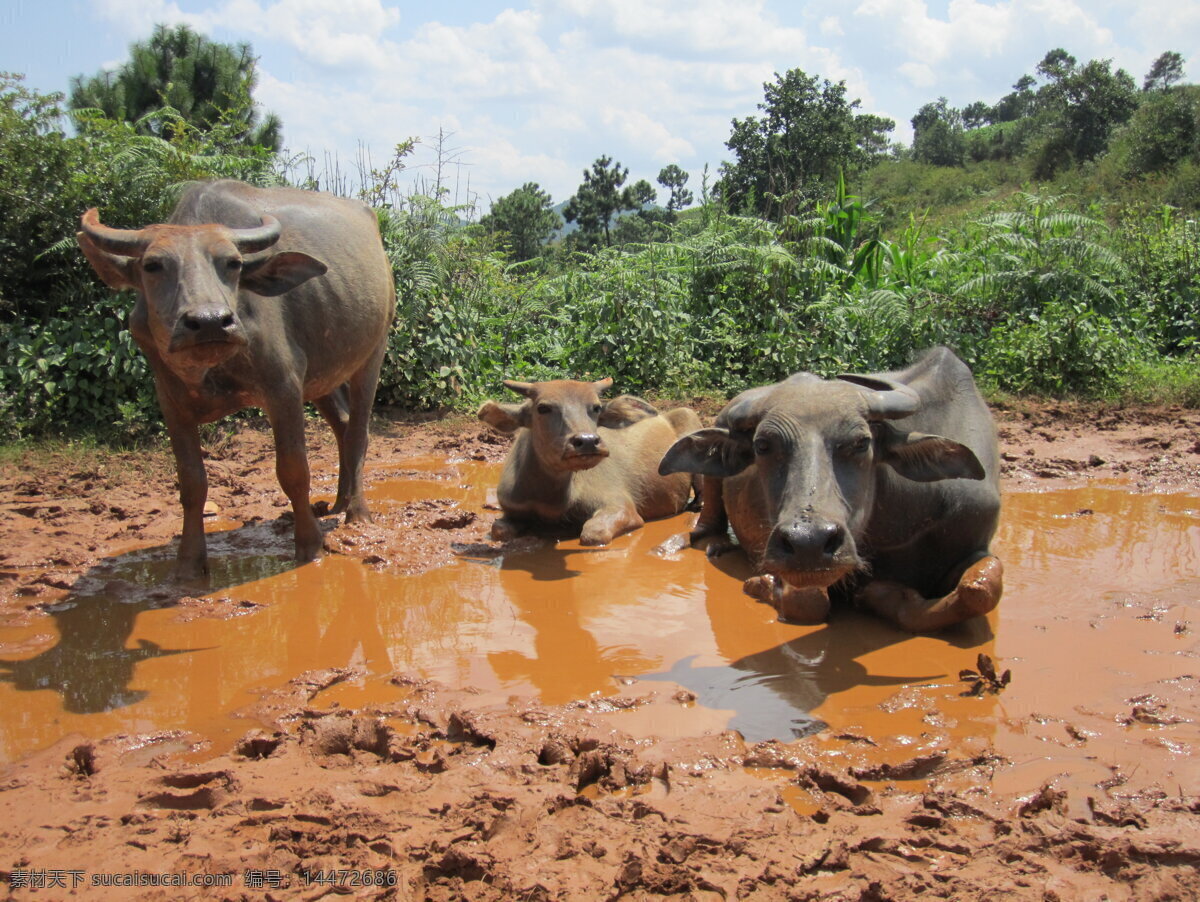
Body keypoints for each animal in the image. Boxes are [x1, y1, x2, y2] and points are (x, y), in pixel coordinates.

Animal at [75, 179, 393, 580]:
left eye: (233, 264)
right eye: (152, 265)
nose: (211, 321)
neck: (213, 367)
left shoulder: (283, 387)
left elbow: (294, 470)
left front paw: (310, 544)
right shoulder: (171, 402)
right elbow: (191, 482)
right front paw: (189, 561)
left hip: (371, 353)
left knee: (358, 433)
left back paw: (357, 511)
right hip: (324, 375)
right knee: (343, 424)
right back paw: (338, 501)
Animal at [477, 374, 700, 542]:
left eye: (596, 407)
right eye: (543, 408)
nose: (587, 441)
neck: (551, 498)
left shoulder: (620, 505)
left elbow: (594, 533)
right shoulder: (510, 507)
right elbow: (498, 530)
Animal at [657, 347, 1003, 633]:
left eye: (861, 443)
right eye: (762, 445)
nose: (808, 541)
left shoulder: (976, 539)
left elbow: (981, 590)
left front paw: (881, 595)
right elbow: (809, 602)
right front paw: (761, 583)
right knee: (709, 517)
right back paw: (701, 541)